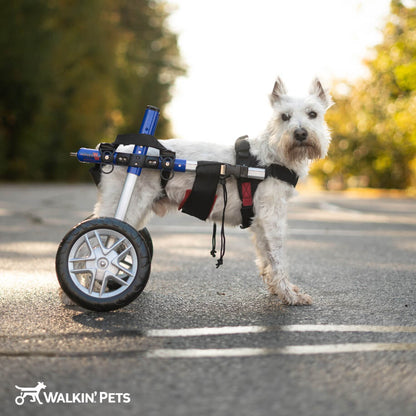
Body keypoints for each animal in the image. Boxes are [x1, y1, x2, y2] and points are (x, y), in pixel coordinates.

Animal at [92, 77, 334, 306]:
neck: (272, 155)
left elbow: (266, 255)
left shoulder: (260, 222)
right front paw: (290, 295)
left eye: (313, 114)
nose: (300, 133)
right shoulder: (272, 217)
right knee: (100, 242)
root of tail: (118, 152)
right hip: (127, 205)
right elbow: (277, 256)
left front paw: (279, 289)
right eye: (284, 117)